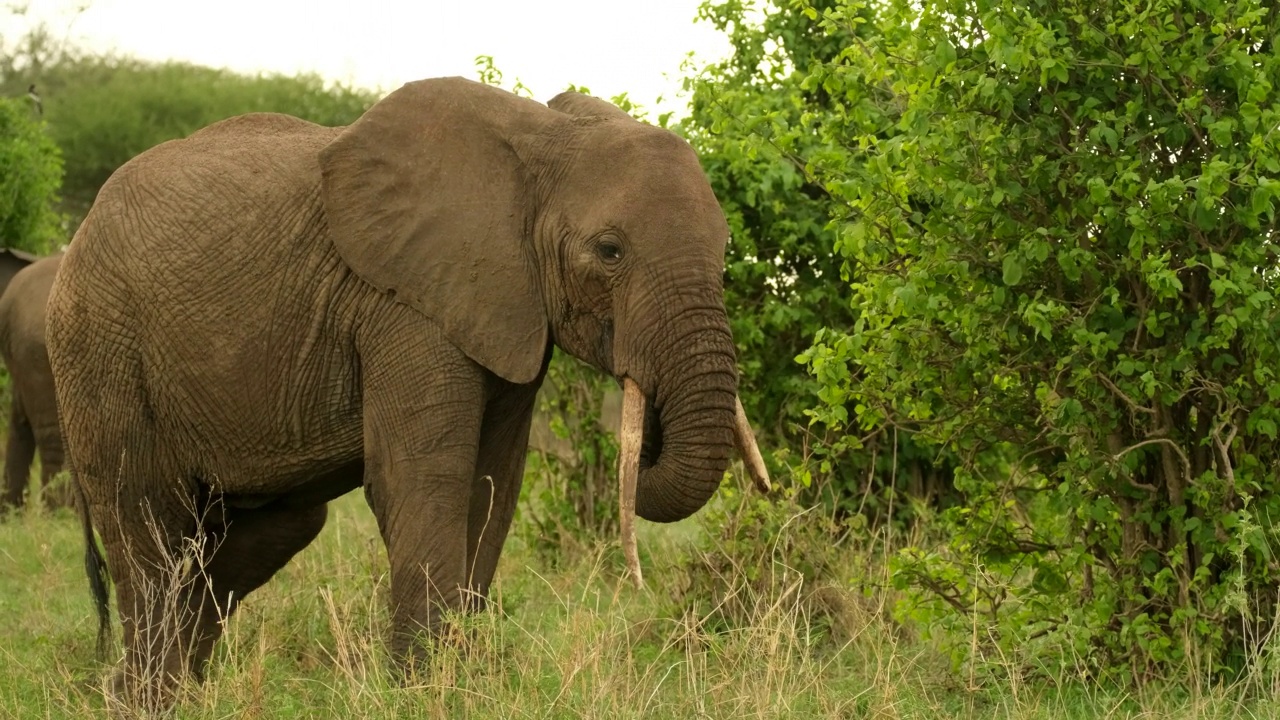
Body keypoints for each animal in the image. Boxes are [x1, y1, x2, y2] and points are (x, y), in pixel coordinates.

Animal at [47, 77, 768, 707]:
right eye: (610, 251)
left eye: (726, 246)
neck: (542, 138)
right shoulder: (406, 306)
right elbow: (424, 479)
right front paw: (424, 692)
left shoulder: (504, 305)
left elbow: (492, 486)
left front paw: (465, 681)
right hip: (100, 346)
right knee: (148, 520)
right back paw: (147, 699)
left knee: (262, 533)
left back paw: (158, 691)